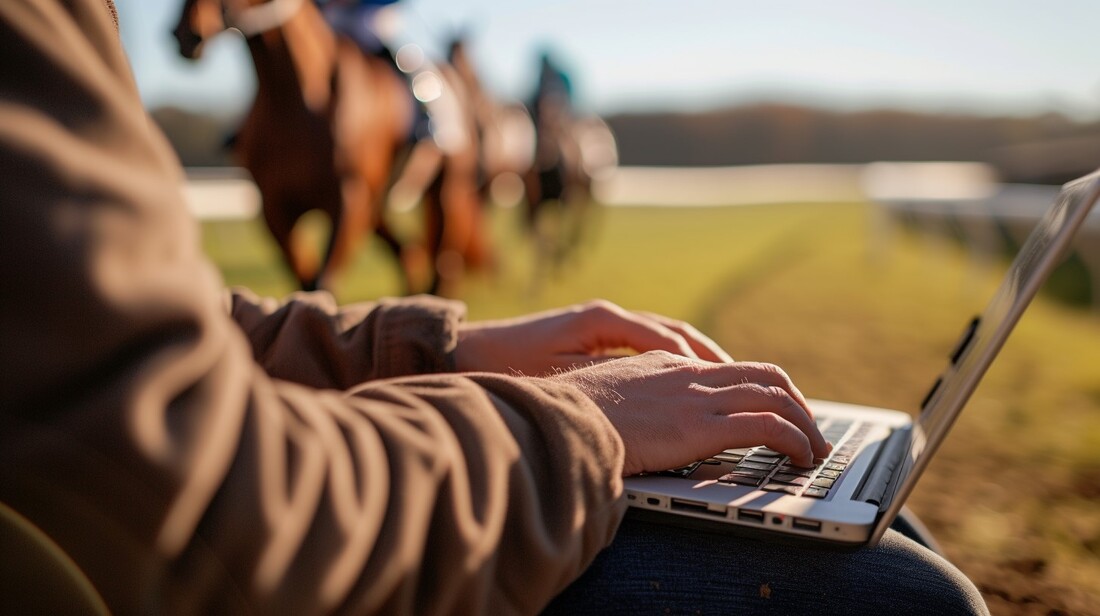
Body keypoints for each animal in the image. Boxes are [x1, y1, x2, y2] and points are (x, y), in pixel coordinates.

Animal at [173, 0, 488, 297]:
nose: (183, 34)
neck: (296, 100)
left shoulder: (348, 199)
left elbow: (322, 283)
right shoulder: (273, 206)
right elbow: (304, 281)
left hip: (445, 189)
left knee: (443, 264)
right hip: (376, 203)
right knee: (410, 254)